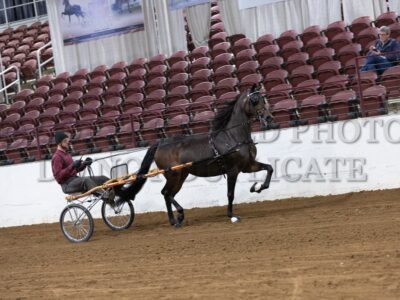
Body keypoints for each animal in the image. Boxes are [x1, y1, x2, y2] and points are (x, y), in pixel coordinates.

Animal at [123, 85, 274, 226]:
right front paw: (232, 215)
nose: (269, 118)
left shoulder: (248, 166)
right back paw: (178, 215)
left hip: (181, 176)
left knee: (169, 194)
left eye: (263, 99)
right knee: (165, 193)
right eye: (254, 100)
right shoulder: (233, 170)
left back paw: (175, 220)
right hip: (173, 175)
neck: (232, 136)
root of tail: (161, 143)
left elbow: (269, 168)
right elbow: (230, 194)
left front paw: (257, 187)